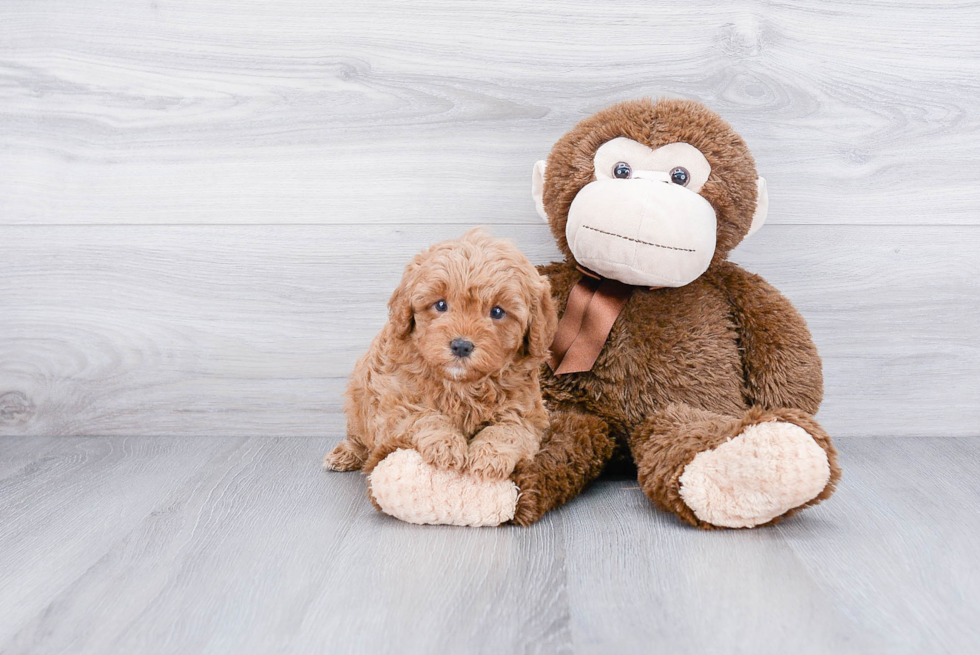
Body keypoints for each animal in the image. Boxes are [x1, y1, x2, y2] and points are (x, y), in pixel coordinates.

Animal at [326, 229, 556, 482]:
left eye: (497, 312)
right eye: (441, 305)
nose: (461, 346)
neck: (462, 386)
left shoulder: (527, 413)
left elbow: (508, 430)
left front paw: (489, 457)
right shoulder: (395, 405)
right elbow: (425, 417)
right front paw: (446, 445)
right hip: (357, 400)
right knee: (359, 437)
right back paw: (346, 454)